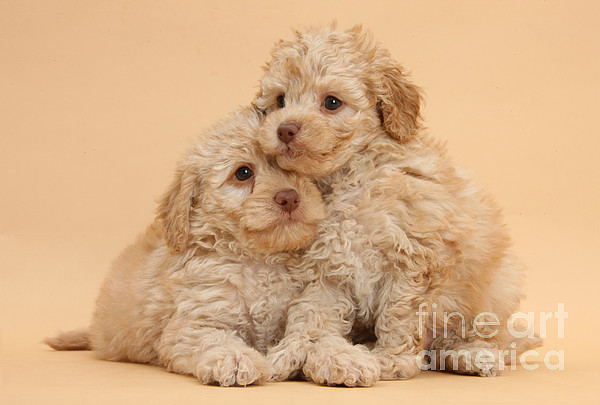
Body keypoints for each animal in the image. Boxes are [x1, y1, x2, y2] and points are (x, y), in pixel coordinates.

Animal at [45, 106, 328, 386]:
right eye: (243, 173)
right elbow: (212, 339)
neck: (260, 260)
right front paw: (235, 358)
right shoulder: (194, 322)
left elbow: (308, 326)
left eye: (301, 171)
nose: (289, 198)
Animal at [255, 25, 540, 386]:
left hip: (498, 285)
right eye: (280, 100)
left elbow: (398, 314)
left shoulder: (414, 258)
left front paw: (390, 361)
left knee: (482, 337)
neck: (349, 177)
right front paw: (286, 355)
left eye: (331, 102)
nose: (285, 129)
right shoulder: (326, 268)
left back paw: (471, 354)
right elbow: (309, 314)